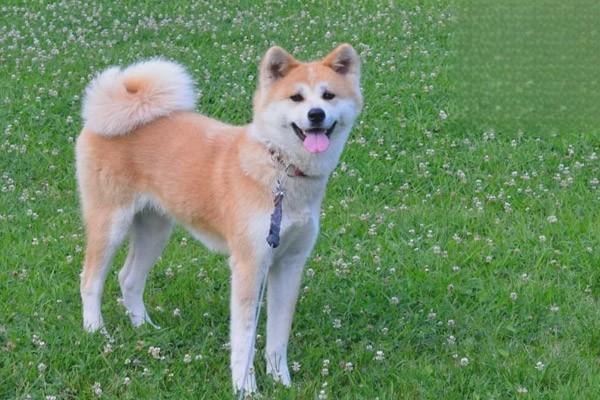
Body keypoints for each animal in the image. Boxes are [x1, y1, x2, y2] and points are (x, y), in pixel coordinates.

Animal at [77, 45, 364, 392]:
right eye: (296, 97)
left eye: (328, 95)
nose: (316, 115)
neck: (280, 169)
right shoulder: (250, 264)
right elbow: (244, 339)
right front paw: (245, 388)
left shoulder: (290, 263)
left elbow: (277, 337)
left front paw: (281, 381)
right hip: (110, 224)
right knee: (90, 281)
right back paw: (96, 332)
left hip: (155, 230)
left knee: (128, 278)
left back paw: (145, 328)